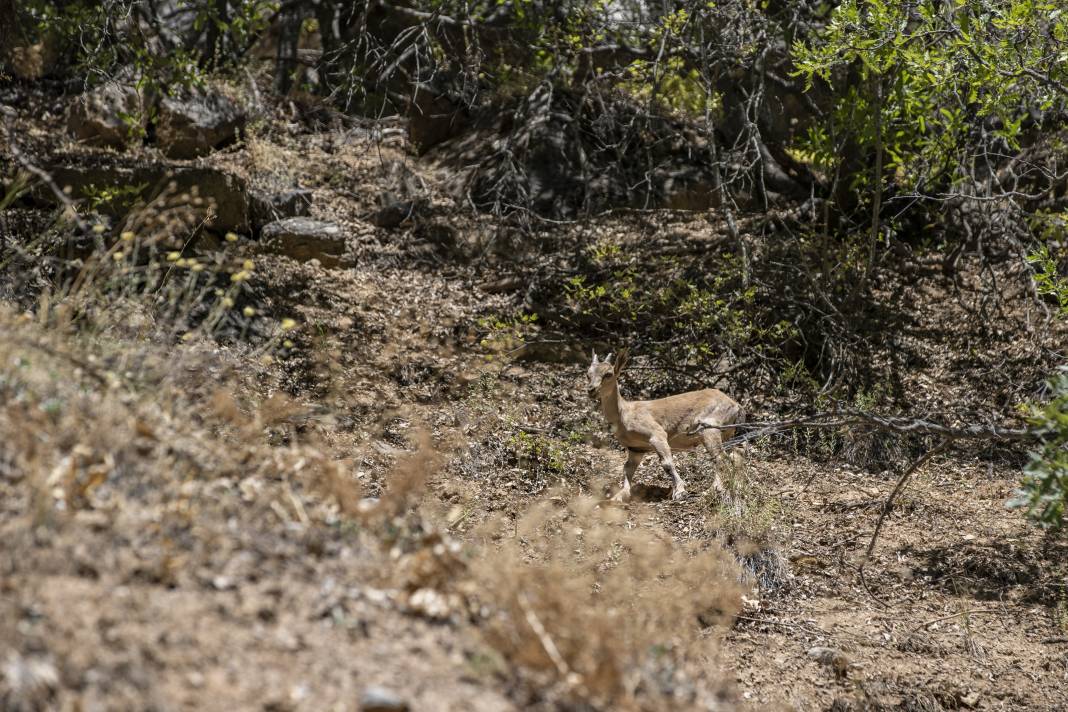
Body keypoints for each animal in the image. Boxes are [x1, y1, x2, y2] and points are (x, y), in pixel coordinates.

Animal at [585, 350, 743, 501]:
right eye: (588, 374)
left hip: (709, 429)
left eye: (608, 374)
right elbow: (627, 469)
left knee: (720, 458)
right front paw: (620, 496)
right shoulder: (636, 448)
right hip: (727, 434)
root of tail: (735, 405)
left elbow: (667, 463)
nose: (591, 390)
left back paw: (712, 490)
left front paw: (680, 492)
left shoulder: (656, 435)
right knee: (735, 455)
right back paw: (736, 485)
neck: (624, 414)